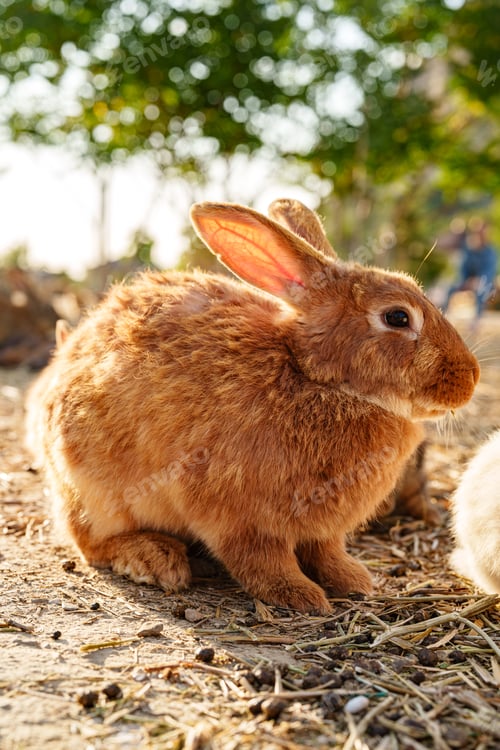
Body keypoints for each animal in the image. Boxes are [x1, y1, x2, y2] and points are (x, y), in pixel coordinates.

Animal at [25, 199, 480, 614]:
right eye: (398, 318)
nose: (470, 379)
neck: (314, 378)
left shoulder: (321, 531)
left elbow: (326, 552)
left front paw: (354, 581)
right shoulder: (238, 519)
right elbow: (261, 560)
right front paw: (300, 596)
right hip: (93, 491)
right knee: (89, 541)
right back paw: (155, 560)